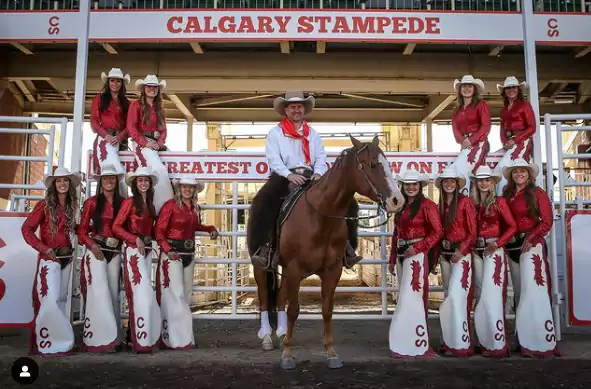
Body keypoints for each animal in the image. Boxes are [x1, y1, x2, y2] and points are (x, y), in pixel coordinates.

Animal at [252, 135, 404, 368]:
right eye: (372, 164)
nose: (397, 200)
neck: (319, 217)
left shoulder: (332, 270)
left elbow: (327, 310)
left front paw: (331, 353)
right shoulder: (295, 269)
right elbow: (294, 310)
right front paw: (287, 355)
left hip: (285, 270)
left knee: (278, 297)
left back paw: (281, 333)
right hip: (263, 267)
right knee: (264, 298)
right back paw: (268, 337)